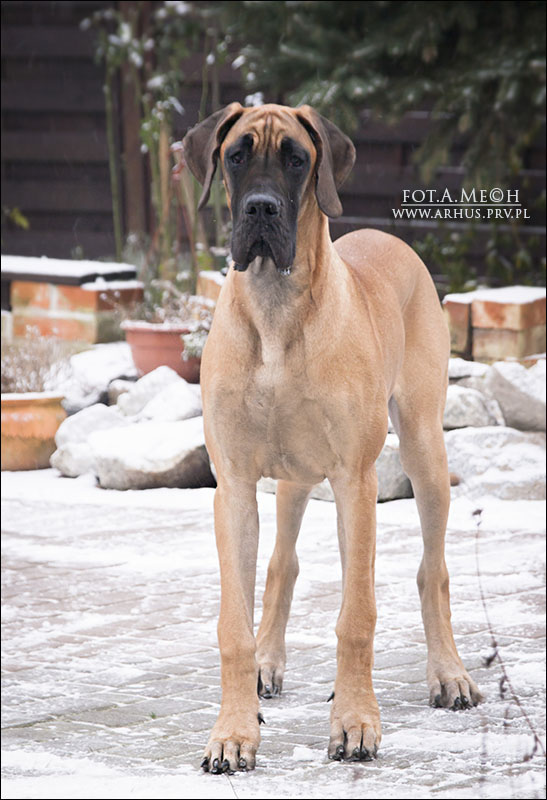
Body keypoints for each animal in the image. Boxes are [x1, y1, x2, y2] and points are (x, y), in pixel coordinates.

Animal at [182, 103, 482, 773]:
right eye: (236, 155)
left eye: (297, 159)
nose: (261, 209)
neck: (275, 310)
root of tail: (389, 236)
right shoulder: (233, 485)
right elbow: (233, 624)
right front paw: (233, 731)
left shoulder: (355, 480)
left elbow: (357, 616)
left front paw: (354, 722)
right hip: (293, 478)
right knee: (281, 564)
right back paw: (268, 663)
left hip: (423, 449)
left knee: (433, 570)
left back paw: (449, 674)